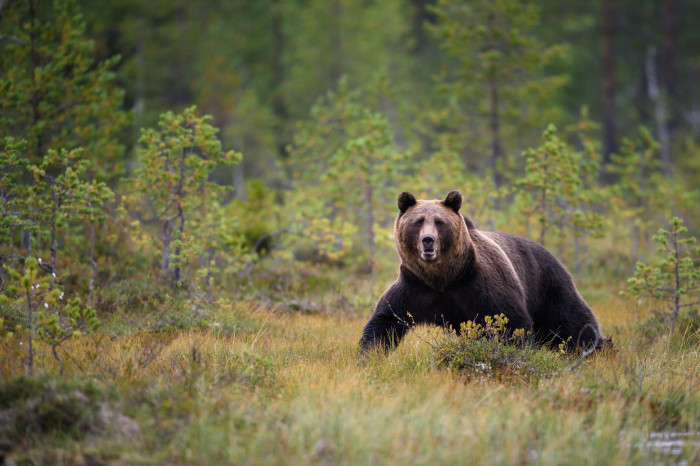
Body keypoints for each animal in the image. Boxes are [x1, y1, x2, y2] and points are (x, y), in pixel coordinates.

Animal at [360, 189, 608, 354]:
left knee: (572, 321)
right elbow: (385, 321)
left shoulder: (479, 283)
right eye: (418, 221)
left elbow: (510, 321)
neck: (445, 277)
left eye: (439, 222)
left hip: (548, 283)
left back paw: (599, 346)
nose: (428, 240)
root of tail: (551, 253)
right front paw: (370, 354)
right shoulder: (416, 287)